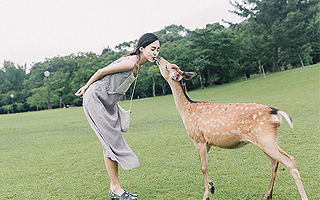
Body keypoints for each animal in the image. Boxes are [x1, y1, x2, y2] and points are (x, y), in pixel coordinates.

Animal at [156, 57, 308, 200]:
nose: (158, 58)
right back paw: (267, 195)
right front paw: (212, 186)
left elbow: (203, 167)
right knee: (274, 162)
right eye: (171, 65)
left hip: (265, 138)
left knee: (289, 160)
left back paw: (302, 196)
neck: (186, 110)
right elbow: (206, 165)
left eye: (167, 66)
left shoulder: (198, 138)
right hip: (266, 140)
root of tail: (276, 112)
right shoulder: (208, 142)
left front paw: (206, 195)